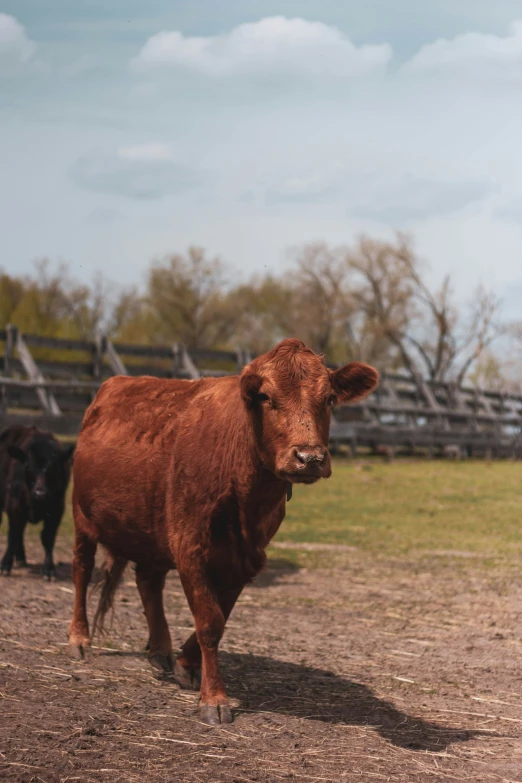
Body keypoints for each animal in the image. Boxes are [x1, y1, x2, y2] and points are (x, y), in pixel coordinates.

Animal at [0, 426, 74, 580]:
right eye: (28, 467)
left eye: (53, 468)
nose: (40, 494)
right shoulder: (14, 507)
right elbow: (13, 535)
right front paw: (5, 565)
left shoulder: (57, 510)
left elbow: (48, 538)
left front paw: (49, 569)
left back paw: (21, 559)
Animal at [70, 340, 378, 724]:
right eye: (265, 397)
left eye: (330, 399)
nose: (310, 458)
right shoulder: (190, 547)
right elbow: (209, 622)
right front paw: (214, 698)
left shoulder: (246, 558)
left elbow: (219, 617)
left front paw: (187, 665)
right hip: (82, 517)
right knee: (82, 570)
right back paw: (79, 639)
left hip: (152, 527)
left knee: (149, 581)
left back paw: (160, 650)